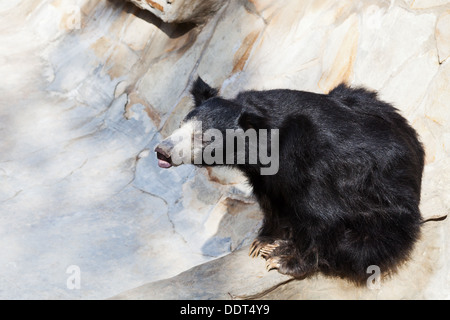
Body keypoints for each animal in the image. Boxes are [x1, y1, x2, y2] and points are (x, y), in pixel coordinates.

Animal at [155, 77, 426, 284]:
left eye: (204, 138)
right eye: (181, 125)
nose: (162, 151)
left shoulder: (312, 162)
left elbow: (322, 213)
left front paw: (284, 261)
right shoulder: (264, 174)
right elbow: (270, 199)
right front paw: (263, 241)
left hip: (384, 211)